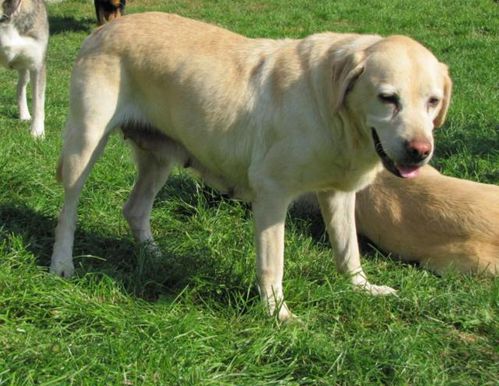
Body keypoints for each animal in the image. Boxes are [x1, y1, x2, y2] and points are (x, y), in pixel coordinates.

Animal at [50, 12, 454, 320]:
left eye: (433, 101)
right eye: (388, 98)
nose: (420, 151)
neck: (327, 106)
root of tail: (106, 27)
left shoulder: (337, 194)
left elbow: (348, 249)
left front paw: (362, 287)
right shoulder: (272, 195)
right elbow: (273, 264)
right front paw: (278, 315)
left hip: (160, 158)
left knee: (134, 209)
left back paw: (154, 254)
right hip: (85, 143)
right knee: (68, 210)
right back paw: (62, 264)